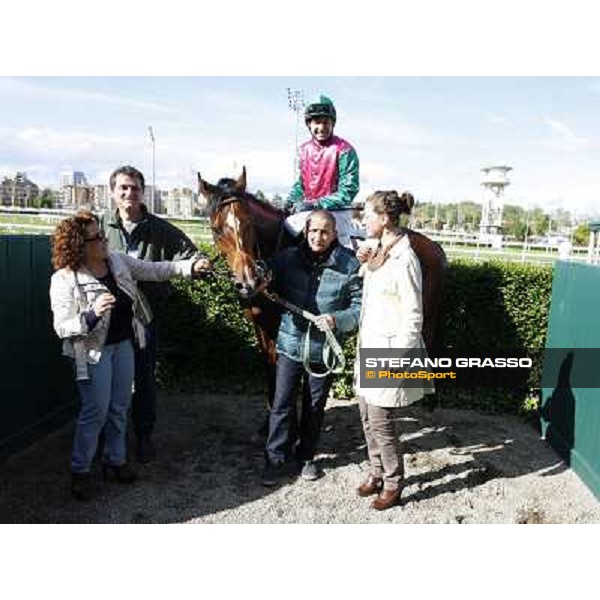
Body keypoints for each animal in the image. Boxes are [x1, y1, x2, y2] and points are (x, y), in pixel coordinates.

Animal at [199, 169, 448, 410]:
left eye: (249, 223)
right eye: (216, 229)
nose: (248, 281)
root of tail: (435, 246)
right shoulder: (261, 323)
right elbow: (270, 368)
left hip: (421, 315)